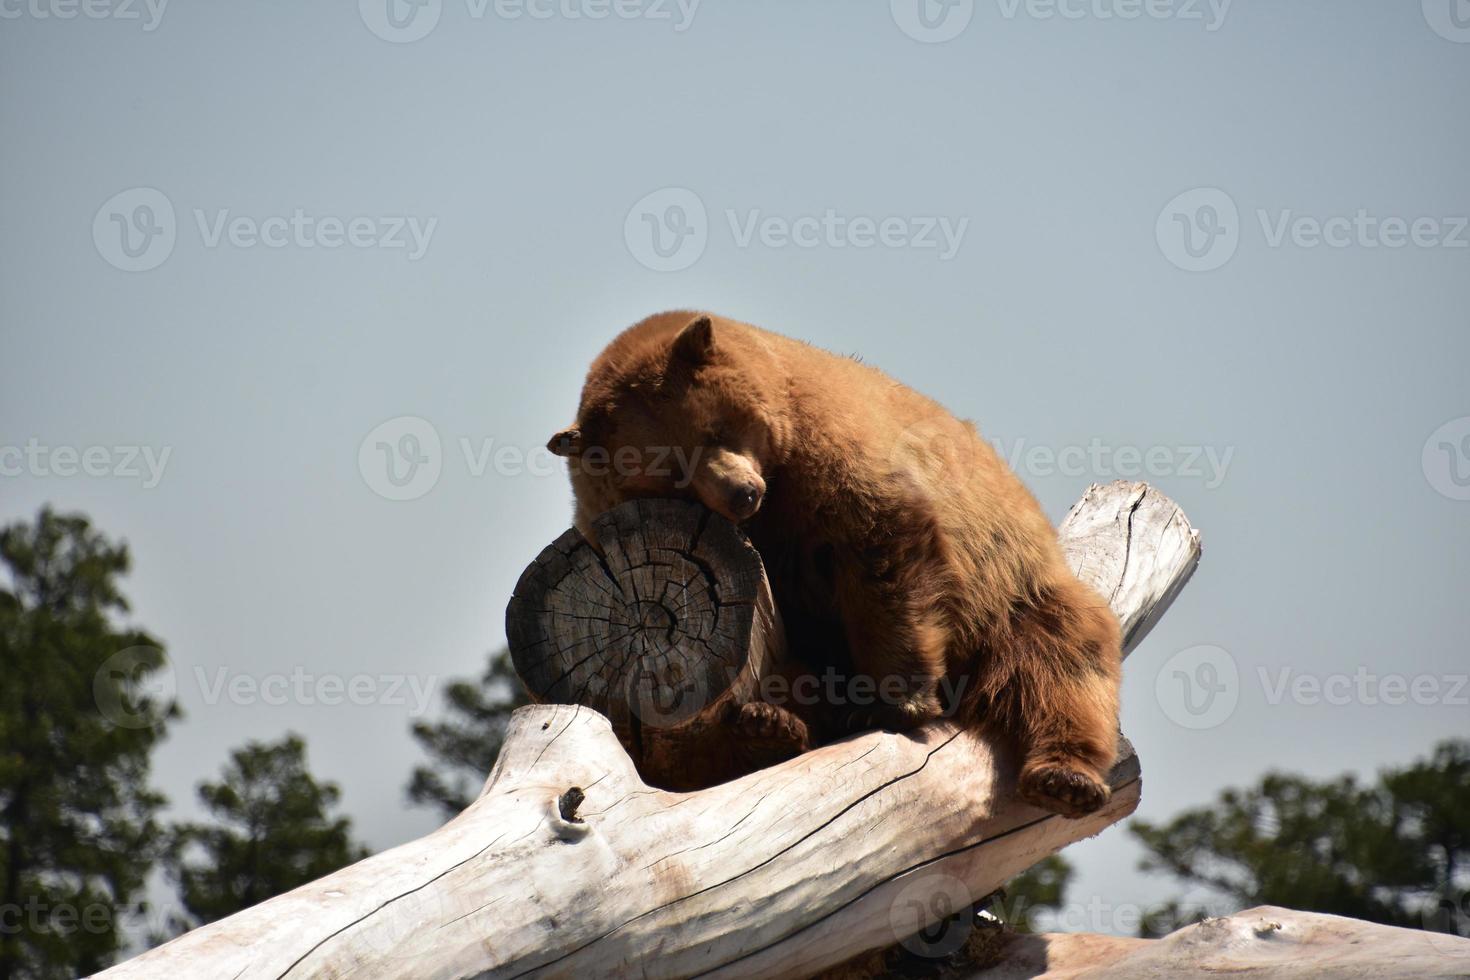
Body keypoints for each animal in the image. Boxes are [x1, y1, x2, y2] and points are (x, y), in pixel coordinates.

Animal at [546, 310, 1117, 816]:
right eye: (671, 471)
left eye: (714, 429)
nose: (741, 494)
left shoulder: (825, 449)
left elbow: (879, 539)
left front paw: (896, 697)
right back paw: (768, 727)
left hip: (1011, 589)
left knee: (1060, 663)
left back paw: (1065, 778)